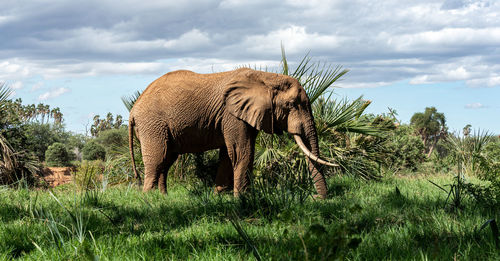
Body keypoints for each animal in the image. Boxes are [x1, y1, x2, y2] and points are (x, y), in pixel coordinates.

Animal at [131, 67, 338, 197]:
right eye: (292, 104)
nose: (315, 198)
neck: (265, 77)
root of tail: (134, 109)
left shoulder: (245, 115)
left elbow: (230, 154)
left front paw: (220, 196)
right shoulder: (232, 115)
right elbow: (242, 152)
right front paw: (243, 198)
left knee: (167, 159)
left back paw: (163, 197)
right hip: (152, 124)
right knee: (157, 158)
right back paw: (149, 199)